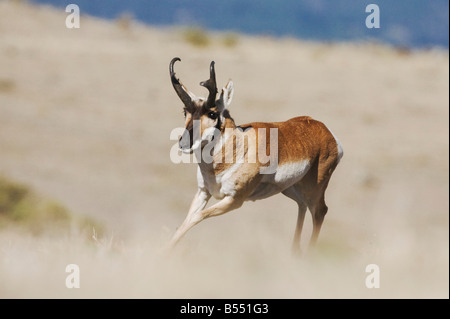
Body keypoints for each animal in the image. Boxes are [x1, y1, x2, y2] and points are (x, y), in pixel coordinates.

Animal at [170, 58, 344, 252]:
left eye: (213, 113)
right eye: (185, 111)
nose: (184, 143)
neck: (240, 147)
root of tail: (324, 130)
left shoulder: (234, 200)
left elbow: (195, 217)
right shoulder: (203, 192)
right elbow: (184, 223)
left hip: (314, 188)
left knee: (320, 211)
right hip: (289, 188)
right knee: (302, 205)